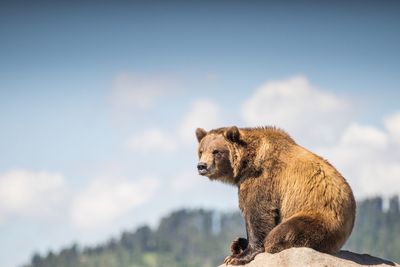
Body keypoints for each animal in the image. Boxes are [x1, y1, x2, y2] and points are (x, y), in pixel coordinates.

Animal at [195, 126, 354, 266]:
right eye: (201, 151)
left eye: (216, 151)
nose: (201, 166)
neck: (247, 162)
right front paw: (239, 247)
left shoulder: (263, 178)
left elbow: (257, 213)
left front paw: (237, 257)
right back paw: (237, 243)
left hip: (320, 217)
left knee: (282, 234)